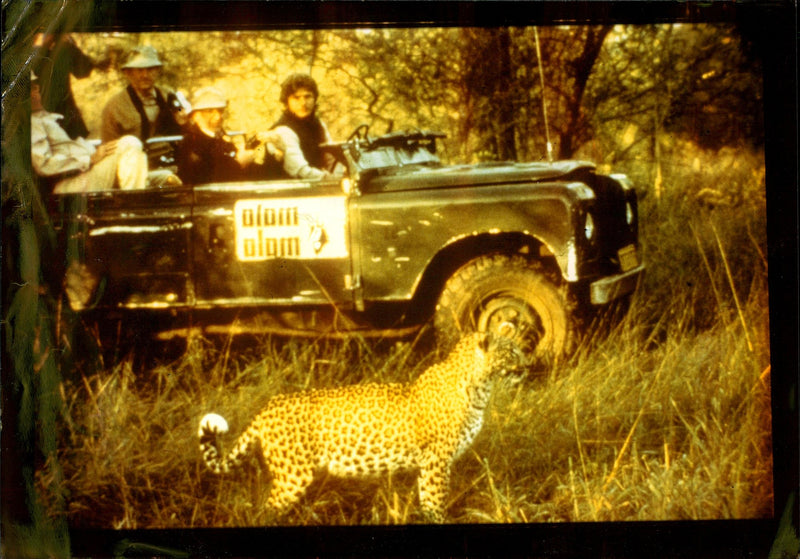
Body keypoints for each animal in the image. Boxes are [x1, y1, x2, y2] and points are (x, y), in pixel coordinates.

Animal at [198, 330, 524, 524]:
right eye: (510, 351)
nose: (528, 363)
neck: (480, 388)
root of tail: (267, 407)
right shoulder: (436, 462)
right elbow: (436, 503)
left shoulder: (428, 466)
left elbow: (427, 501)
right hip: (292, 477)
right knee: (264, 513)